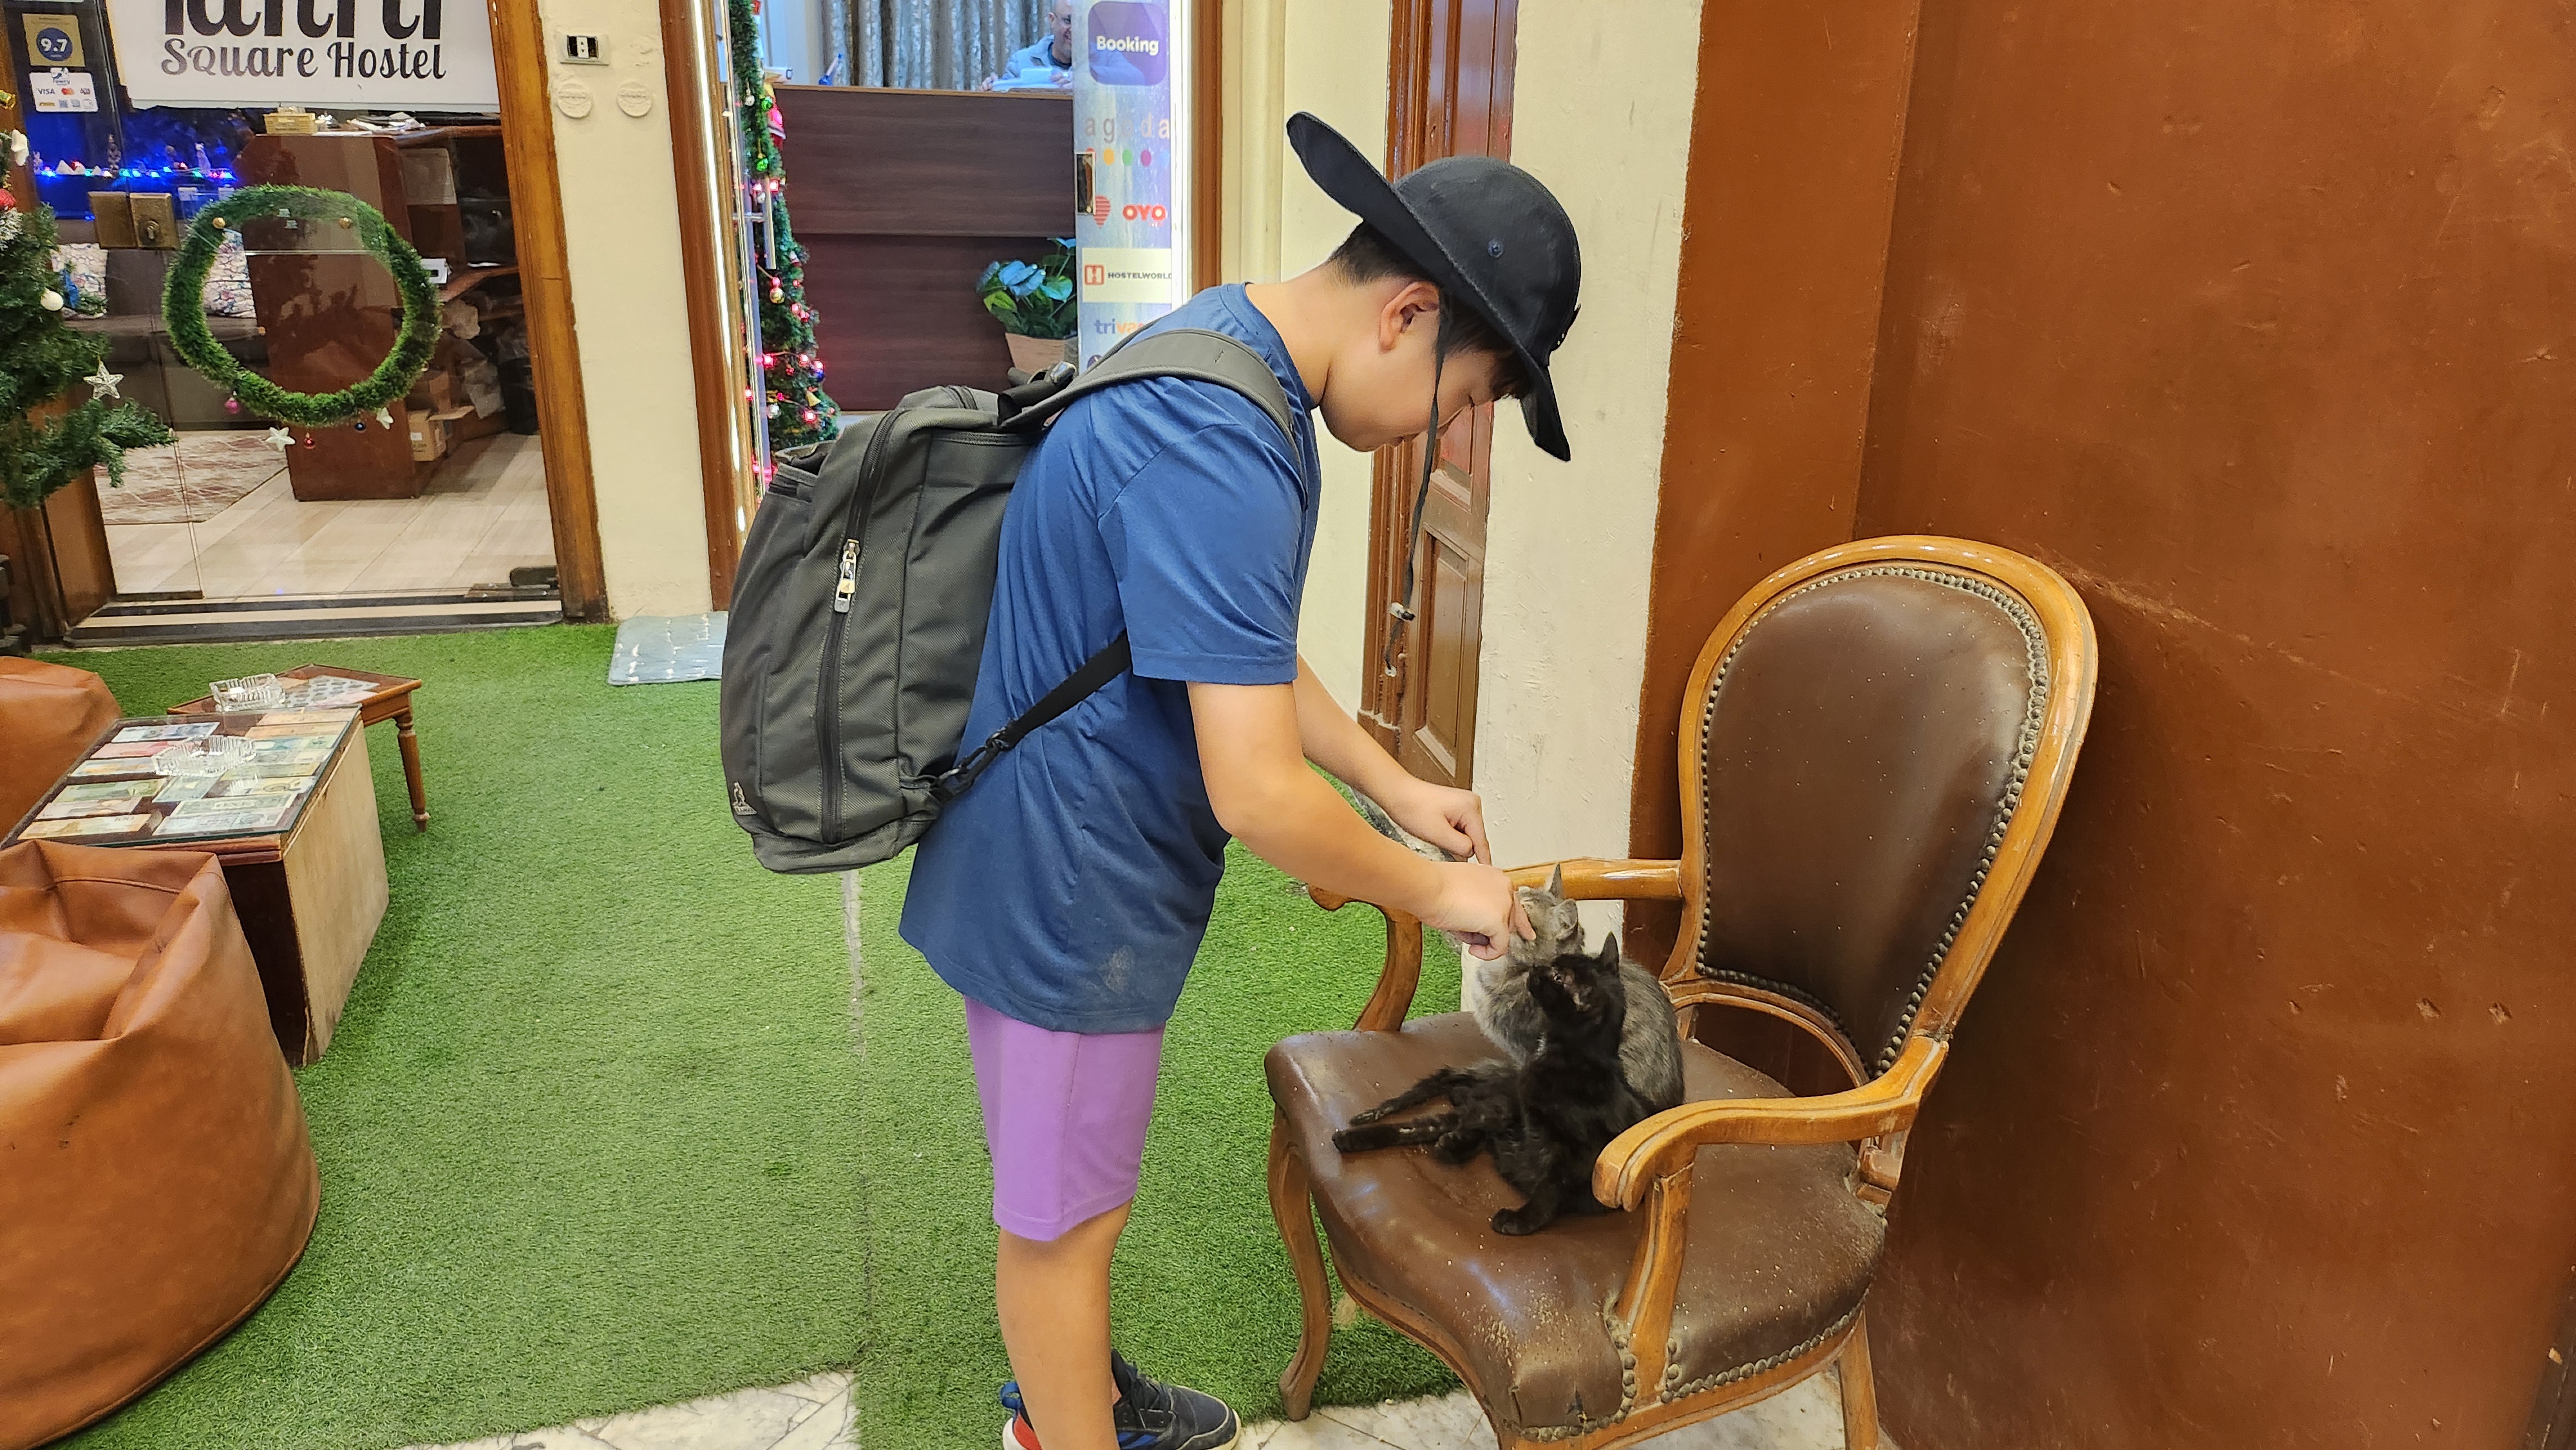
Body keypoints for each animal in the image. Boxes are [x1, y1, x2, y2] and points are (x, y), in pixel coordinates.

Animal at [1331, 934, 1651, 1235]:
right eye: (1555, 965)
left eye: (1558, 977)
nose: (1537, 968)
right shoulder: (1513, 1108)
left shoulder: (1581, 1155)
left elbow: (1551, 1188)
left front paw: (1520, 1221)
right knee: (1435, 1116)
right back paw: (1355, 1138)